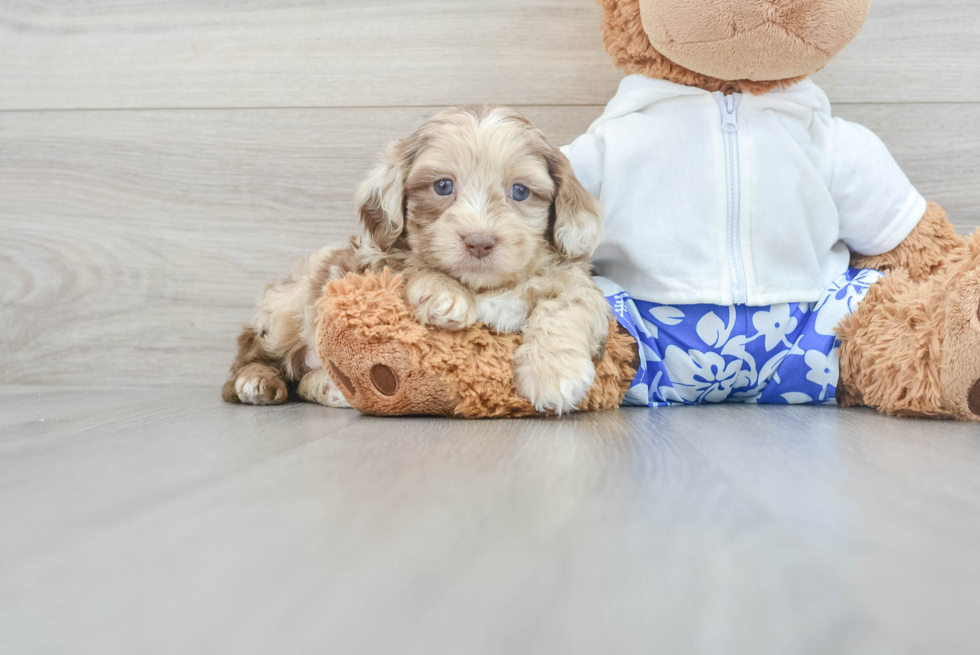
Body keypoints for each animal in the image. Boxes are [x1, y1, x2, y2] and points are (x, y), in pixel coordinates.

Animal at [222, 107, 608, 416]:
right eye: (442, 186)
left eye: (520, 191)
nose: (479, 241)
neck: (483, 287)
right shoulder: (370, 265)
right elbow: (408, 266)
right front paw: (444, 293)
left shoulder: (572, 279)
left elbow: (571, 304)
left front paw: (556, 373)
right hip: (285, 310)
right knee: (251, 351)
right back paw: (256, 381)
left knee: (303, 382)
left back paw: (331, 388)